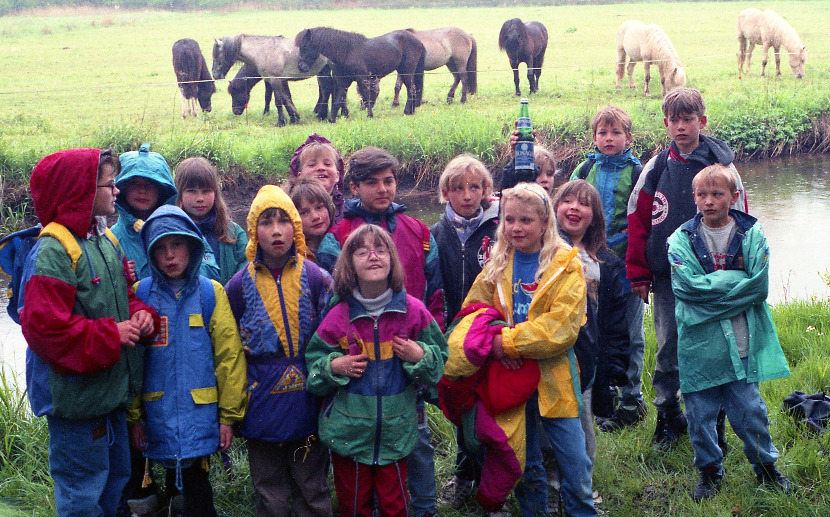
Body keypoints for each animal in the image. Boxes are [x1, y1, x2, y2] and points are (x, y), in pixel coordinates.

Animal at [296, 27, 426, 122]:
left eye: (305, 46)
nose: (301, 67)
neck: (347, 52)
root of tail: (418, 41)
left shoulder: (362, 79)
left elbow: (366, 96)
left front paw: (370, 115)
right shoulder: (343, 82)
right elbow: (339, 100)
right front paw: (332, 119)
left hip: (406, 71)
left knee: (411, 89)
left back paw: (407, 111)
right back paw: (411, 111)